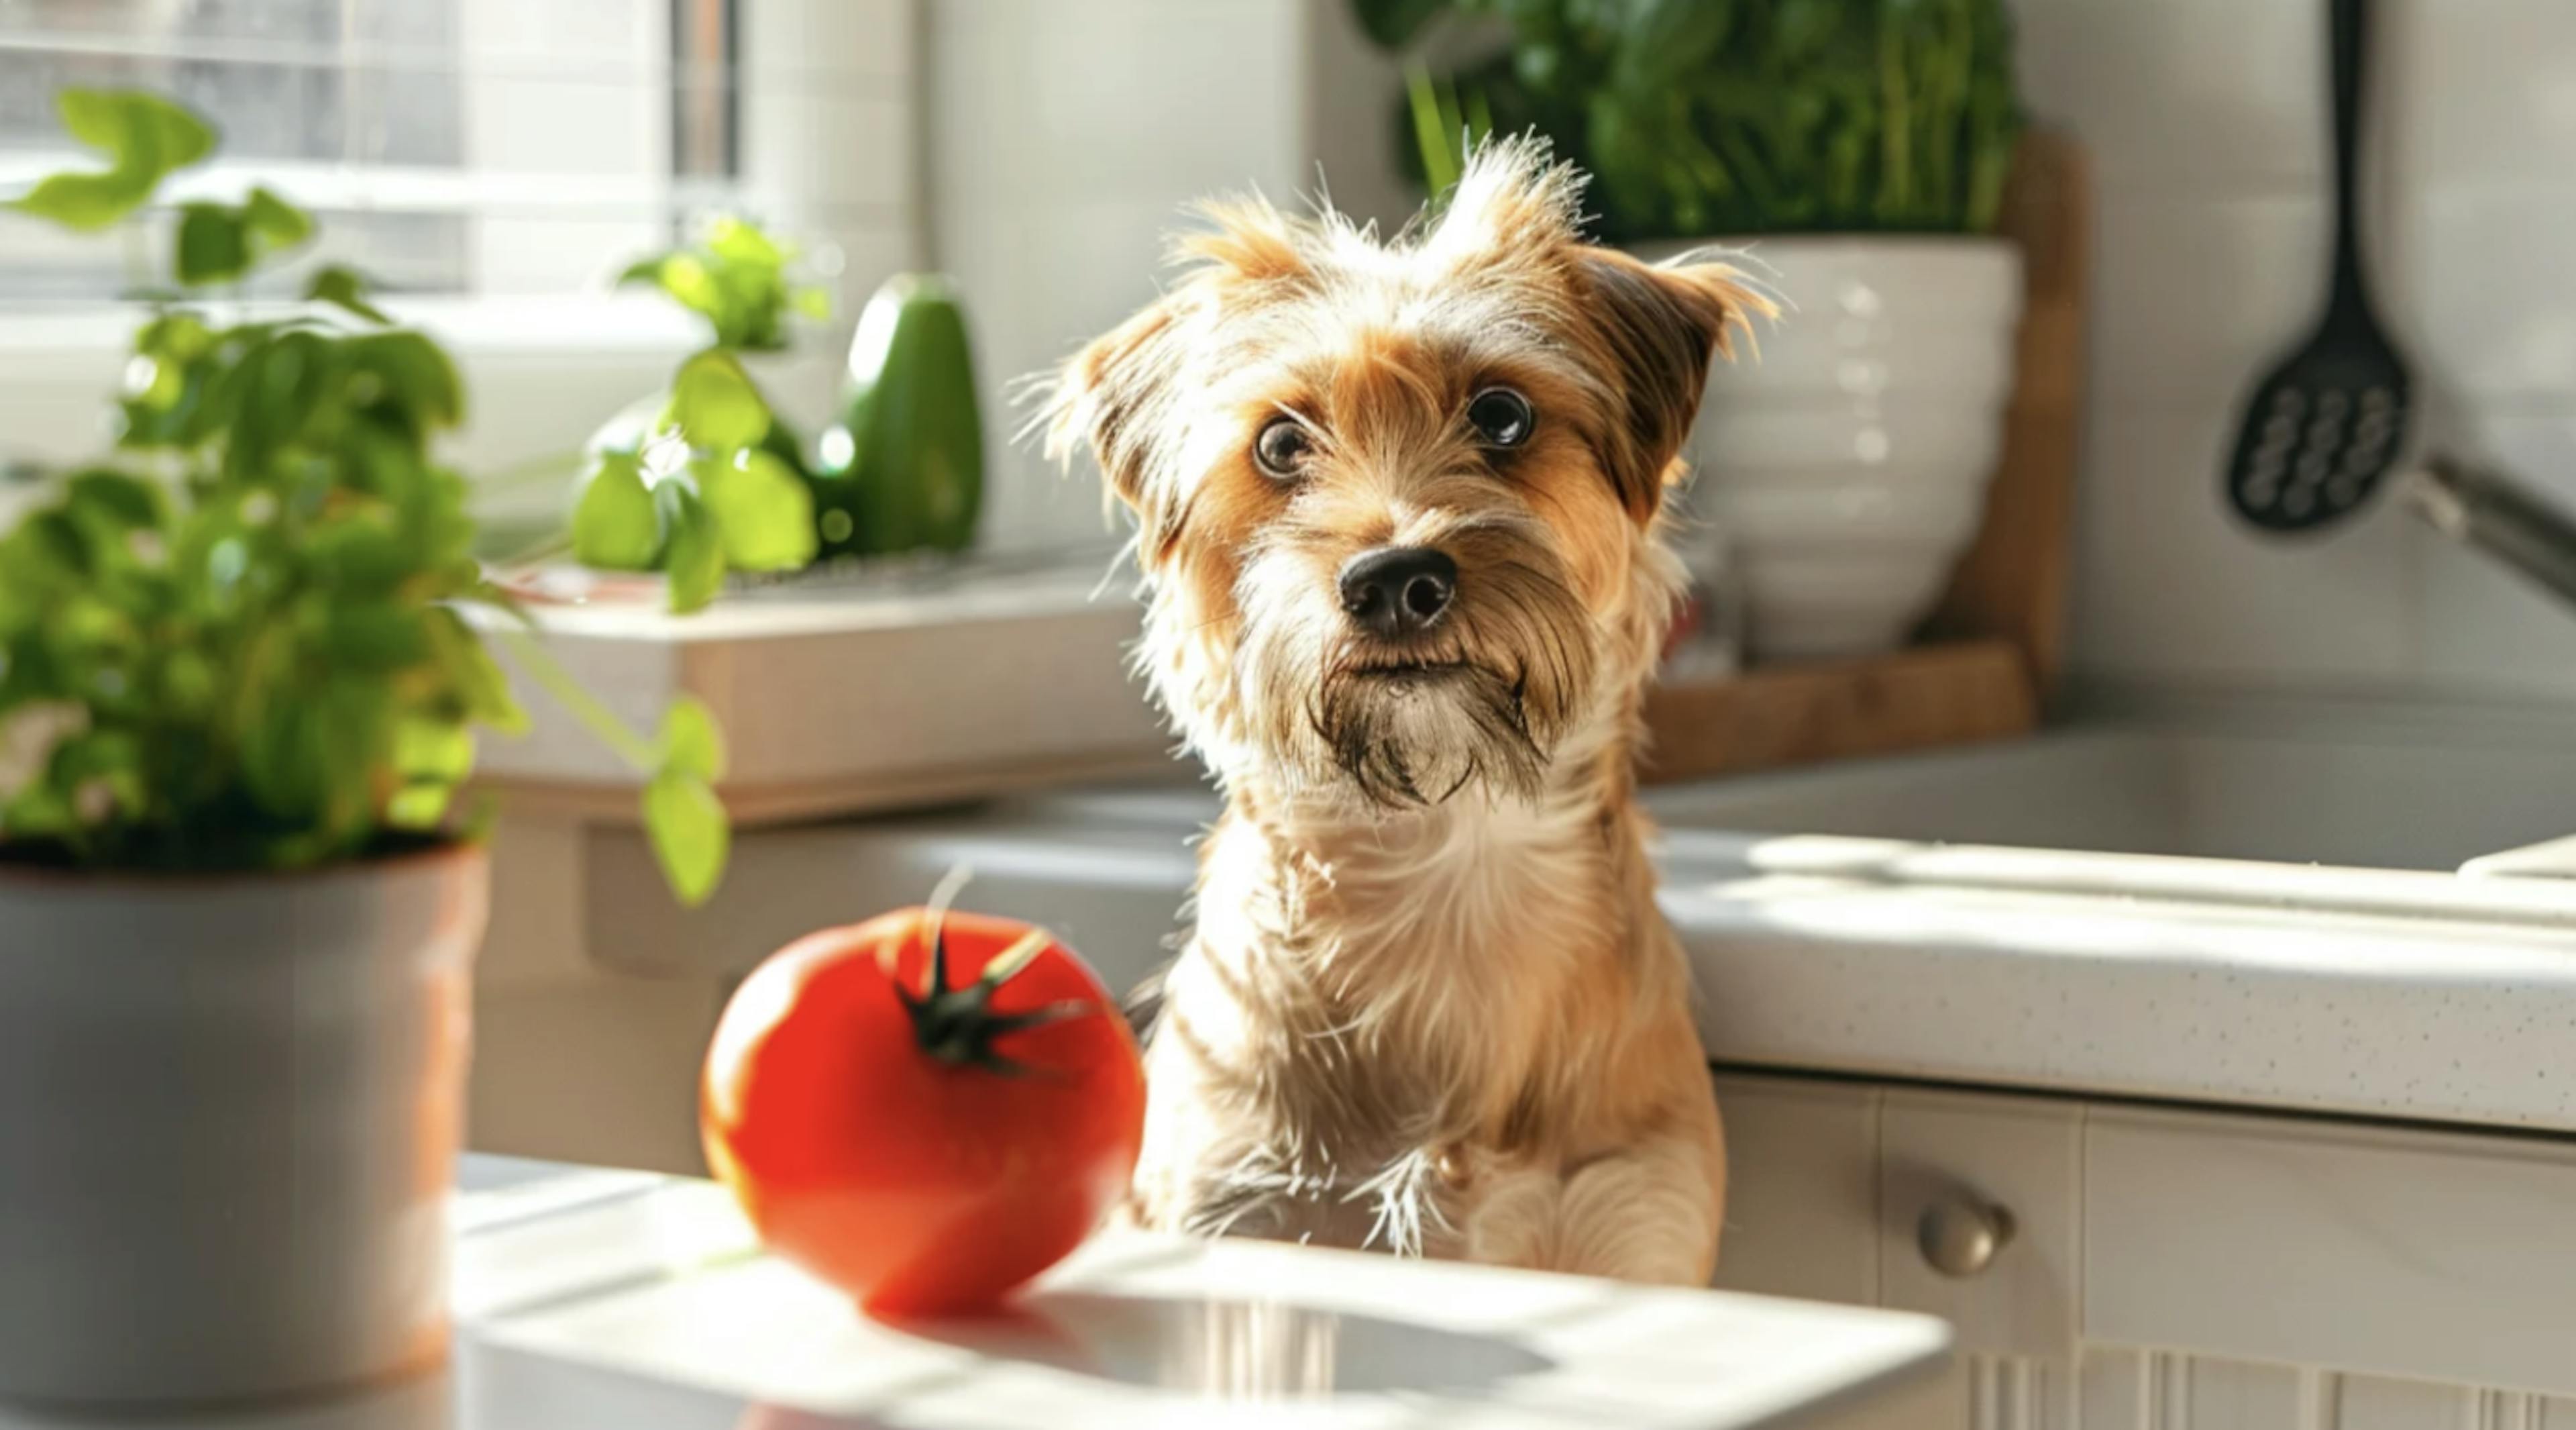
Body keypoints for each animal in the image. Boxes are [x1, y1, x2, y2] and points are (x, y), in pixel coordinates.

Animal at [1035, 140, 1762, 1288]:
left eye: (1503, 414)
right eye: (1281, 446)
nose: (1394, 580)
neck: (1441, 860)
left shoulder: (1634, 1223)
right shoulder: (1242, 1209)